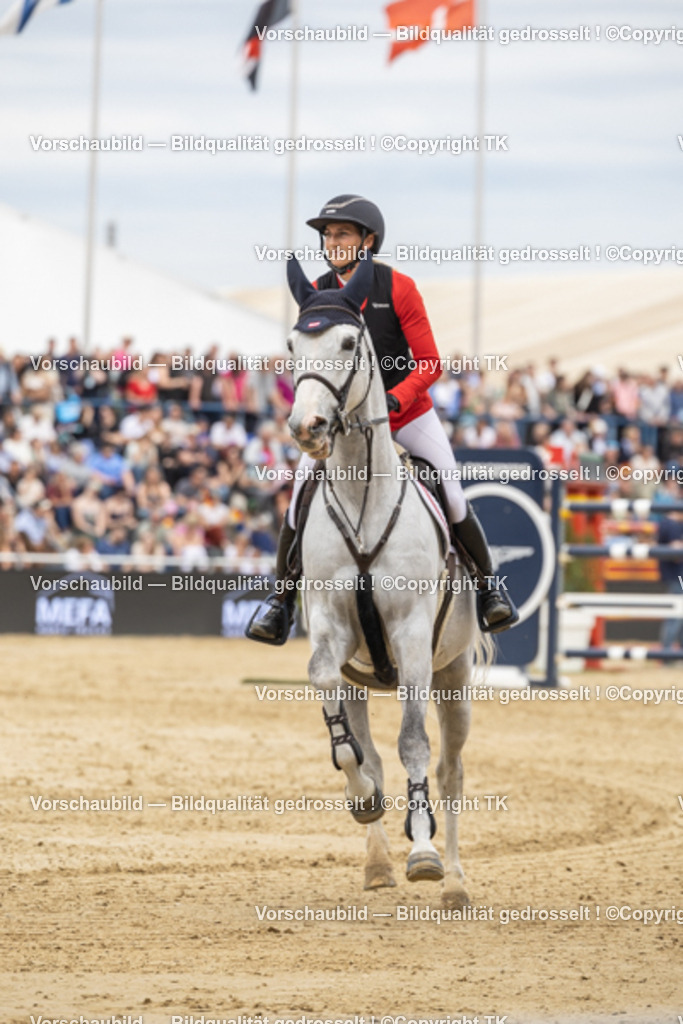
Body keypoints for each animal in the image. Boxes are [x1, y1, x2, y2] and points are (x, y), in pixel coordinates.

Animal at [283, 254, 491, 908]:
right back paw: (377, 863)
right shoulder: (333, 632)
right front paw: (363, 799)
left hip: (454, 677)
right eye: (293, 343)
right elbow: (354, 743)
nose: (307, 427)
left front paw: (423, 851)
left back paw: (454, 881)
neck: (361, 499)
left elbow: (414, 745)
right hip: (361, 682)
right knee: (372, 749)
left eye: (350, 342)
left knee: (451, 770)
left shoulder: (412, 637)